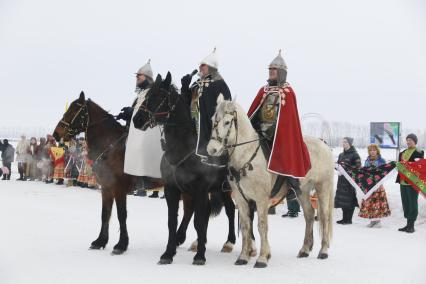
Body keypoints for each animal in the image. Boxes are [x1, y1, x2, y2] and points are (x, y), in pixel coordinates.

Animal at [53, 91, 133, 255]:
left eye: (74, 110)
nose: (56, 134)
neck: (112, 147)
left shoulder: (119, 188)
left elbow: (121, 215)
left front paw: (121, 244)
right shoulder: (106, 187)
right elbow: (105, 214)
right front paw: (100, 241)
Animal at [134, 72, 236, 266]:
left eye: (157, 95)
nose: (137, 120)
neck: (182, 149)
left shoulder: (201, 190)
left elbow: (199, 221)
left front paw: (200, 256)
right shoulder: (173, 189)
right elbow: (172, 221)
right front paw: (168, 252)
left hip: (224, 189)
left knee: (230, 210)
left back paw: (230, 242)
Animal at [206, 96, 332, 268]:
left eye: (227, 122)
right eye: (213, 120)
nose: (212, 149)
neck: (247, 157)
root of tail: (323, 143)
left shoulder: (261, 199)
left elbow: (262, 226)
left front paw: (262, 258)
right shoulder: (241, 199)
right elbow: (245, 226)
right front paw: (243, 257)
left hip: (322, 188)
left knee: (324, 216)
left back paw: (324, 251)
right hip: (303, 191)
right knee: (309, 215)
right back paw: (305, 249)